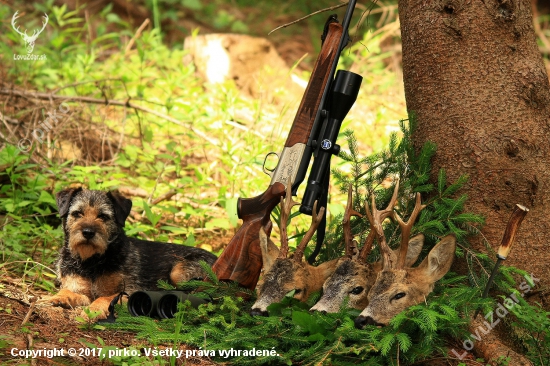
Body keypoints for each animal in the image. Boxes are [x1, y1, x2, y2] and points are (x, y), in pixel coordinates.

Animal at [46, 189, 218, 318]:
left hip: (179, 272)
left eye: (103, 216)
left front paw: (93, 311)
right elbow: (67, 291)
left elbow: (105, 297)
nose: (88, 232)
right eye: (77, 213)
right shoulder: (81, 291)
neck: (91, 261)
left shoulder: (130, 291)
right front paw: (57, 297)